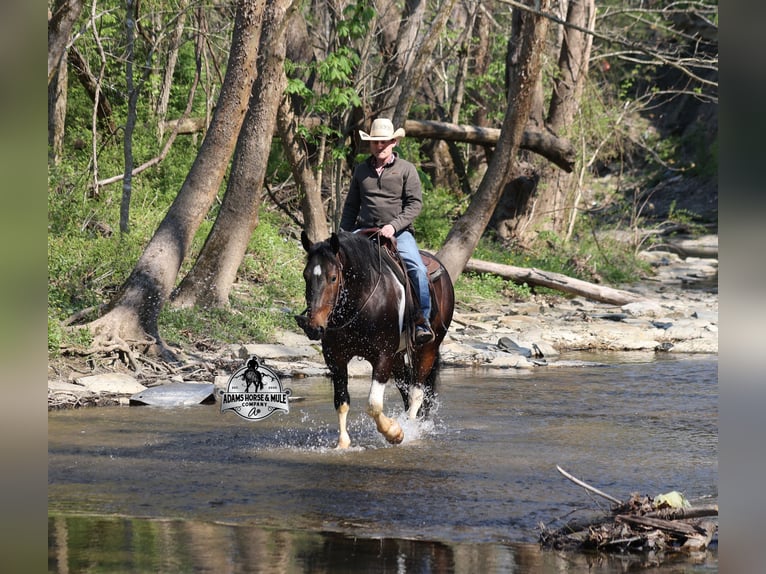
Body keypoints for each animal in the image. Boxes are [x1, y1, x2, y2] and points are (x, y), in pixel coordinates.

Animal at [296, 229, 455, 448]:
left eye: (333, 277)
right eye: (306, 276)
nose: (313, 326)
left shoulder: (382, 356)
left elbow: (373, 404)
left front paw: (394, 433)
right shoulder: (336, 359)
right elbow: (341, 402)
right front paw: (343, 444)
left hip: (427, 348)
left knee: (416, 392)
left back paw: (411, 430)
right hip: (398, 356)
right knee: (406, 390)